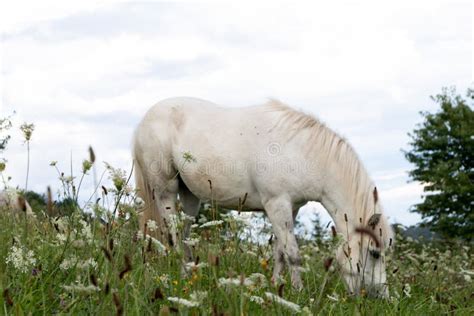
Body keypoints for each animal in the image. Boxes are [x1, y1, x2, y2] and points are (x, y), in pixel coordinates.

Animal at [132, 97, 392, 298]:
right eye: (374, 253)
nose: (381, 297)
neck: (302, 151)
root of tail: (144, 120)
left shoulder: (290, 208)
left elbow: (280, 253)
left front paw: (277, 288)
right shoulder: (277, 203)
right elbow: (293, 254)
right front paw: (299, 293)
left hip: (190, 198)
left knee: (184, 235)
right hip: (165, 191)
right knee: (173, 236)